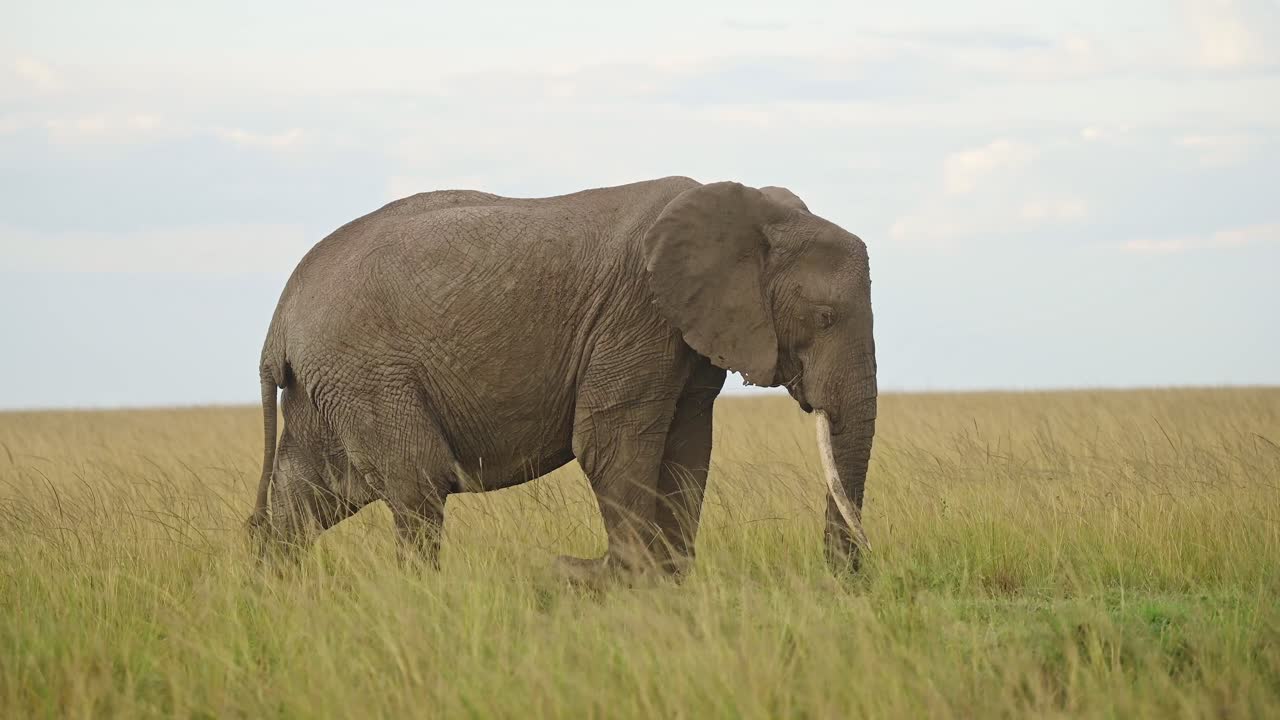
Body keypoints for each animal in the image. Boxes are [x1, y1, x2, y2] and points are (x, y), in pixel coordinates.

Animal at [246, 176, 877, 576]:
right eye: (824, 317)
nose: (846, 574)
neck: (755, 211)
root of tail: (280, 315)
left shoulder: (690, 337)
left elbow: (688, 451)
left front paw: (668, 587)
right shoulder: (638, 314)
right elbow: (611, 443)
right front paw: (620, 583)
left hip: (330, 384)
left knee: (305, 497)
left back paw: (274, 593)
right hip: (366, 375)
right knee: (418, 486)